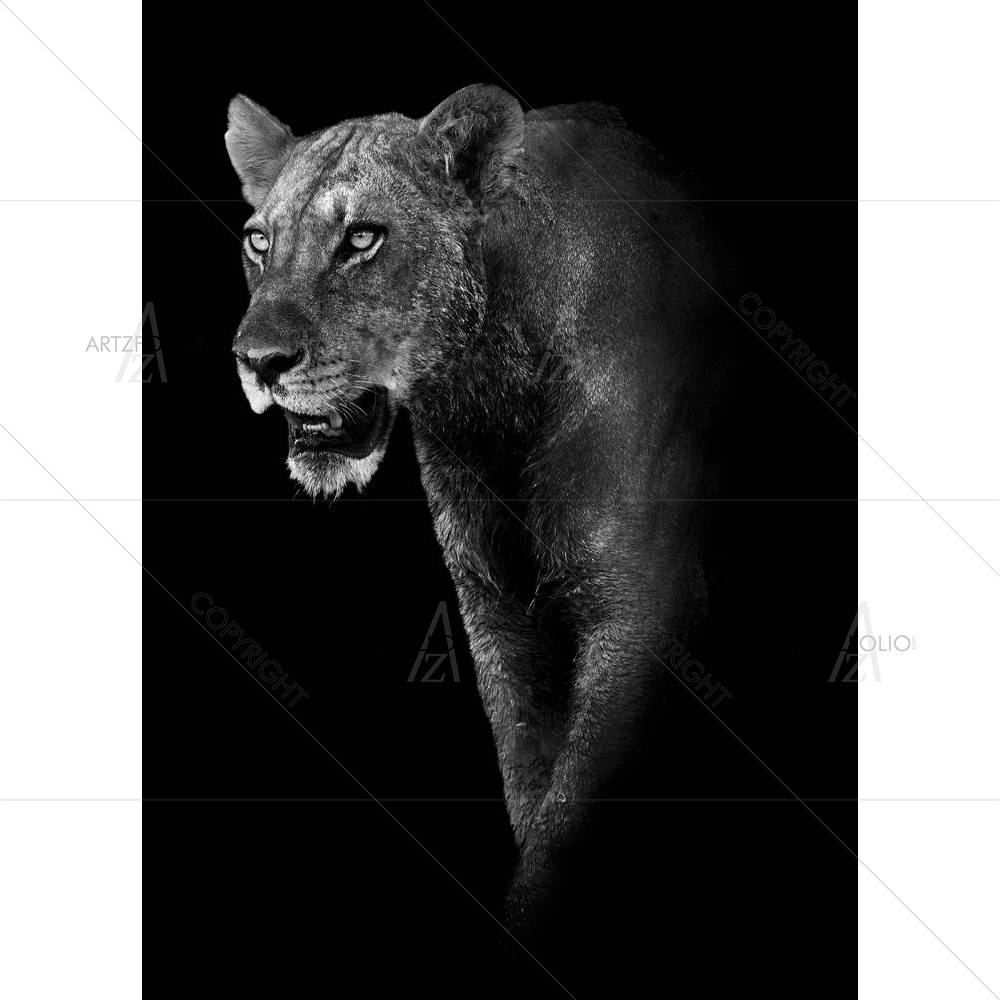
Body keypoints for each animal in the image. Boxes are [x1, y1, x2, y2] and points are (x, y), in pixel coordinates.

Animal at [225, 84, 730, 938]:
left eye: (362, 239)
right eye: (261, 242)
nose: (257, 361)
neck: (487, 398)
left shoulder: (640, 609)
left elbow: (565, 823)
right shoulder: (498, 609)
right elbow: (530, 779)